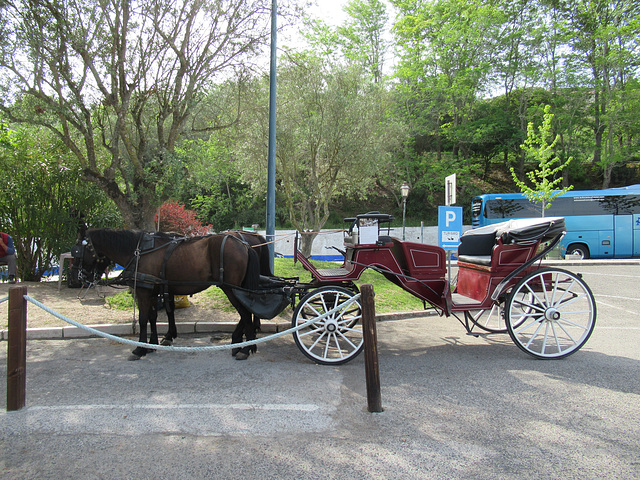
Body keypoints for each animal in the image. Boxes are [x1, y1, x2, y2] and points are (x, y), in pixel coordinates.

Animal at [75, 229, 262, 360]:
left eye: (78, 251)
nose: (81, 277)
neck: (139, 252)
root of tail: (243, 244)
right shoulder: (152, 291)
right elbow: (153, 317)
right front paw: (153, 344)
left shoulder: (143, 291)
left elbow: (143, 319)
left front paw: (140, 348)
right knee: (246, 313)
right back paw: (241, 343)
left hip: (231, 289)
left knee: (245, 314)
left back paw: (245, 347)